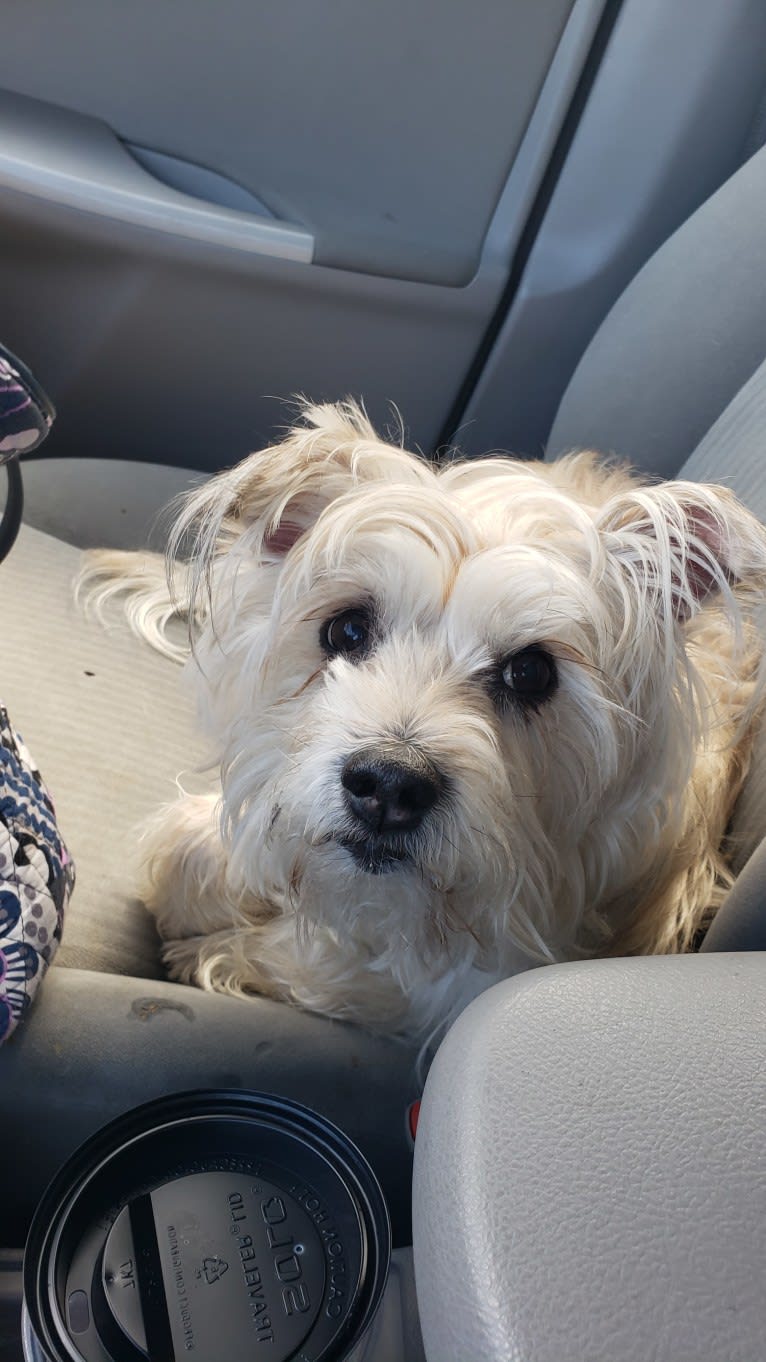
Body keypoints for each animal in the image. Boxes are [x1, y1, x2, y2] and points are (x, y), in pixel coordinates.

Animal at [83, 400, 763, 1029]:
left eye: (532, 672)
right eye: (346, 629)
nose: (388, 786)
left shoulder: (461, 979)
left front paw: (211, 946)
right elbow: (194, 843)